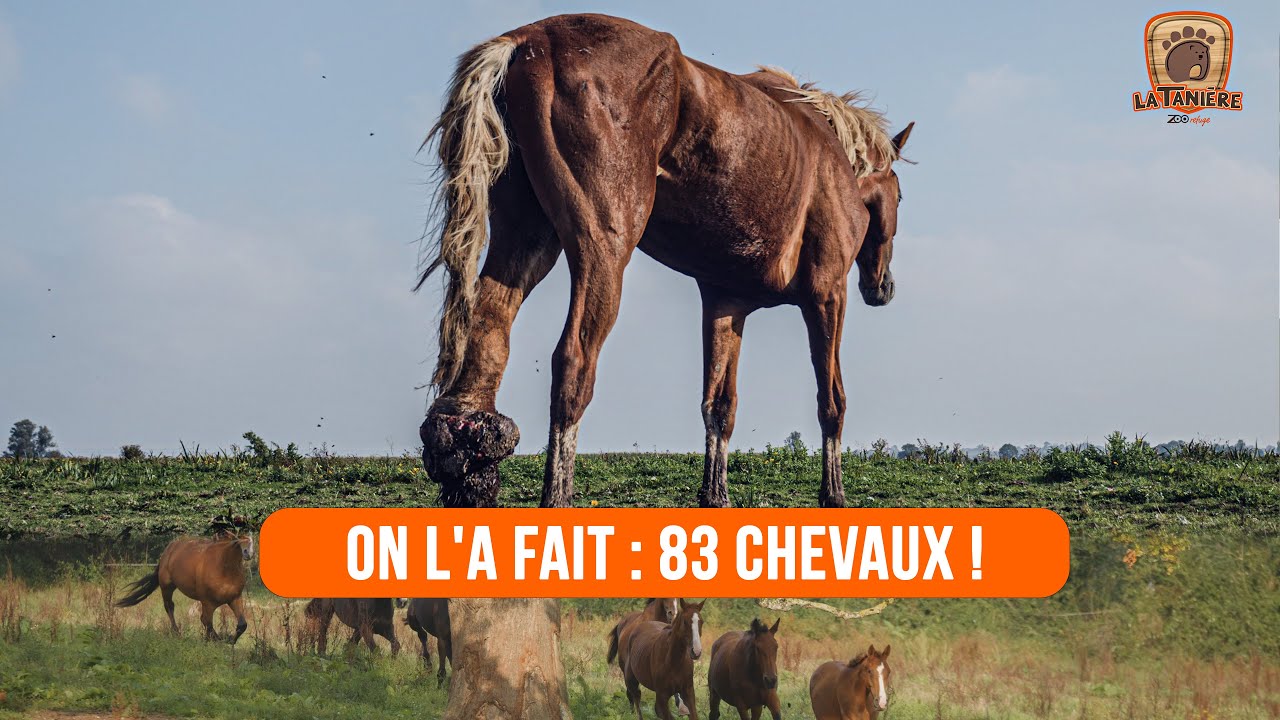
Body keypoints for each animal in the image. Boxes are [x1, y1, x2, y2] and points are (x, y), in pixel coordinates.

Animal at [115, 530, 254, 644]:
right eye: (237, 538)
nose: (248, 552)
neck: (224, 570)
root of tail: (169, 549)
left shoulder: (234, 598)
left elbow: (242, 624)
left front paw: (229, 640)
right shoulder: (207, 602)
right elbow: (207, 622)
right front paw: (217, 640)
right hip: (166, 587)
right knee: (169, 606)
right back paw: (176, 633)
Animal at [417, 13, 914, 510]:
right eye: (901, 196)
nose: (883, 287)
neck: (833, 157)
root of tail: (529, 40)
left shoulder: (725, 303)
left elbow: (719, 406)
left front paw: (715, 496)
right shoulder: (828, 295)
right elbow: (831, 400)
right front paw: (834, 494)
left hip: (526, 240)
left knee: (487, 330)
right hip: (603, 249)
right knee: (574, 364)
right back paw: (556, 495)